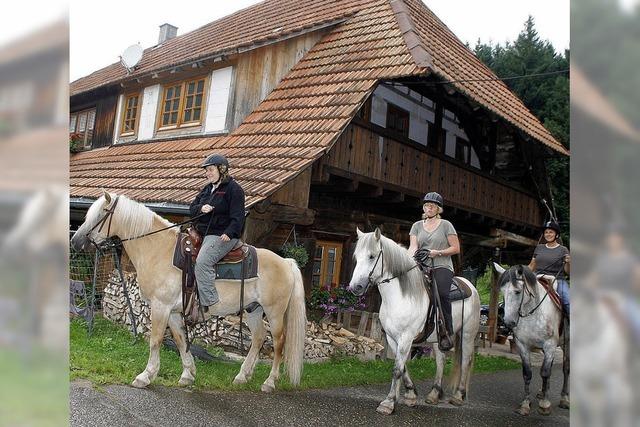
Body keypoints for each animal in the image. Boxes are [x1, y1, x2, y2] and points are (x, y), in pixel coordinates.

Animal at [71, 192, 306, 392]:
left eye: (102, 213)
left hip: (274, 312)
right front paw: (188, 374)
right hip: (253, 309)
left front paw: (145, 376)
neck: (159, 250)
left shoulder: (161, 307)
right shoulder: (173, 311)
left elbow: (155, 339)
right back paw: (242, 376)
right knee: (258, 338)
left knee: (279, 342)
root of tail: (286, 262)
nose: (75, 241)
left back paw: (269, 382)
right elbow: (180, 340)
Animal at [348, 229, 478, 416]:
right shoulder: (392, 338)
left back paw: (459, 396)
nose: (355, 287)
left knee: (466, 360)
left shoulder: (406, 337)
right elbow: (402, 366)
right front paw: (410, 394)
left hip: (467, 334)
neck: (399, 298)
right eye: (356, 257)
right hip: (439, 338)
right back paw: (434, 394)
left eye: (372, 256)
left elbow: (397, 369)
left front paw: (388, 402)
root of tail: (470, 286)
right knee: (440, 361)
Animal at [496, 262, 568, 416]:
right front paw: (525, 404)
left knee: (566, 369)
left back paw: (564, 399)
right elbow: (527, 373)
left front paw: (545, 405)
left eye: (517, 291)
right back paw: (542, 392)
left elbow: (545, 373)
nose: (508, 322)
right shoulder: (522, 345)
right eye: (502, 291)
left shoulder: (550, 345)